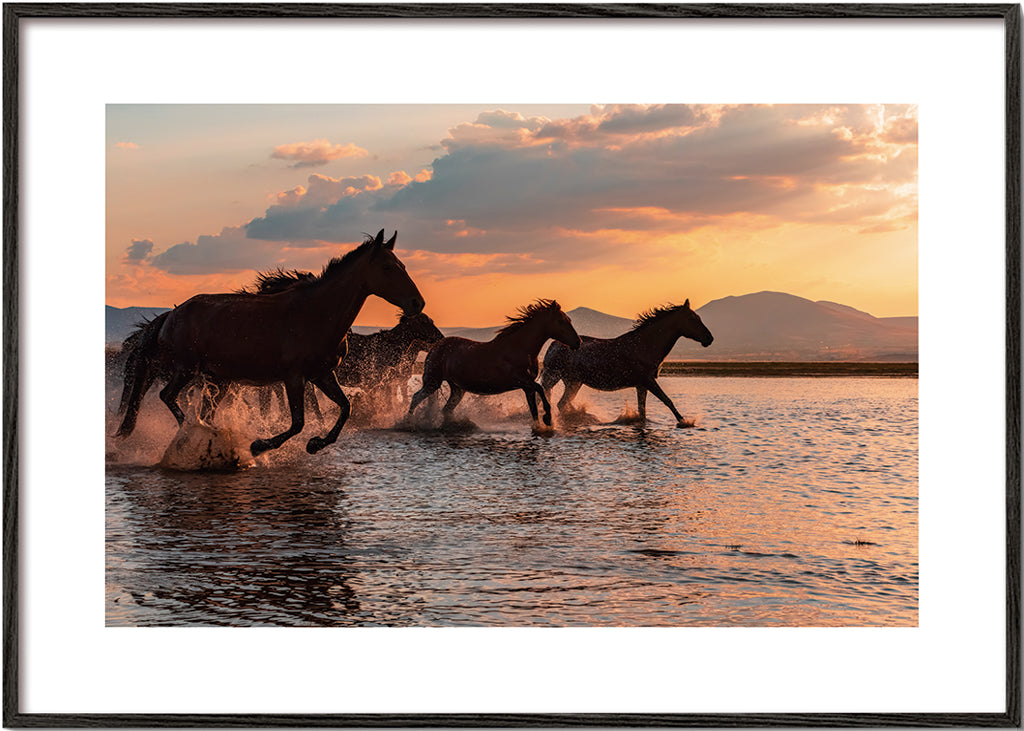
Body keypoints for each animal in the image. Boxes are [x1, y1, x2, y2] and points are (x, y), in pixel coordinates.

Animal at [116, 229, 425, 456]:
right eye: (388, 267)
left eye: (403, 265)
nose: (417, 303)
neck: (316, 313)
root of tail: (170, 315)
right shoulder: (294, 377)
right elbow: (298, 422)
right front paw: (259, 445)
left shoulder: (323, 374)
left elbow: (345, 408)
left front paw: (316, 444)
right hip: (186, 369)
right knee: (167, 396)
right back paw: (198, 433)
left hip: (217, 379)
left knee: (200, 408)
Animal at [407, 299, 581, 429]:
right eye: (561, 321)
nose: (578, 342)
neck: (520, 348)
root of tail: (435, 347)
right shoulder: (521, 381)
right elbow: (541, 389)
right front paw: (548, 418)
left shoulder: (527, 387)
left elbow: (533, 409)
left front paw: (541, 425)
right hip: (432, 382)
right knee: (416, 398)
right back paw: (407, 423)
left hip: (457, 389)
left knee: (446, 410)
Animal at [540, 300, 713, 427]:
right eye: (692, 319)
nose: (709, 338)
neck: (646, 345)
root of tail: (553, 345)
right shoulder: (648, 381)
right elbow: (667, 400)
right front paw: (685, 422)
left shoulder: (642, 385)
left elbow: (642, 411)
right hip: (556, 377)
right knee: (557, 402)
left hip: (573, 382)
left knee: (562, 404)